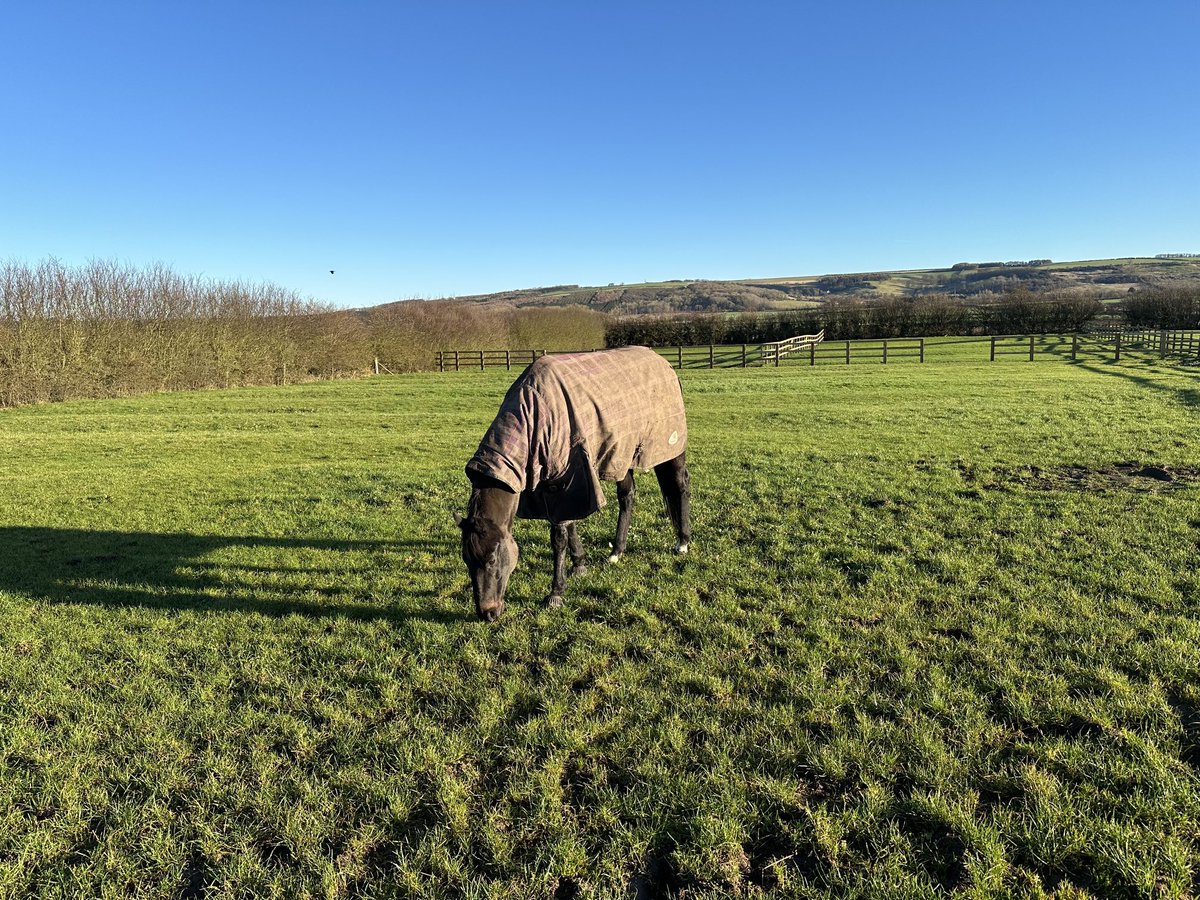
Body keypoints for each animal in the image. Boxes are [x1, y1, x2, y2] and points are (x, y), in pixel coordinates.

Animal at [453, 348, 691, 624]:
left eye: (491, 559)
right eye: (466, 559)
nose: (488, 613)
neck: (534, 415)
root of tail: (665, 364)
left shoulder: (568, 478)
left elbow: (558, 538)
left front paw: (556, 593)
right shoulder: (552, 484)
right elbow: (570, 525)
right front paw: (579, 565)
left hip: (670, 448)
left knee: (680, 486)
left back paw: (683, 542)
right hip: (621, 454)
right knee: (627, 496)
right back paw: (617, 551)